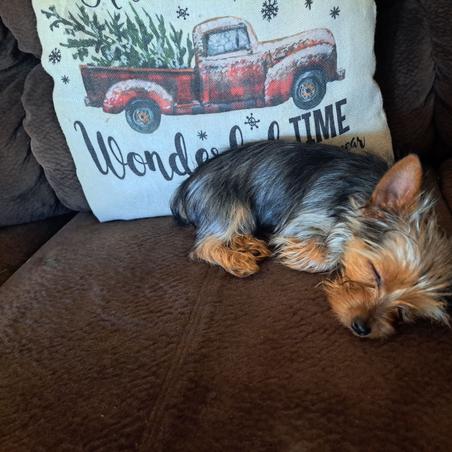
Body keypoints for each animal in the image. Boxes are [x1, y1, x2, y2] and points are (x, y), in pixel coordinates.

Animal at [171, 141, 452, 338]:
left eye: (404, 312)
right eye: (375, 272)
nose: (362, 328)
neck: (362, 193)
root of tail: (186, 186)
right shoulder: (303, 221)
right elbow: (326, 254)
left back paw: (248, 246)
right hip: (229, 204)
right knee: (205, 244)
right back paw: (237, 259)